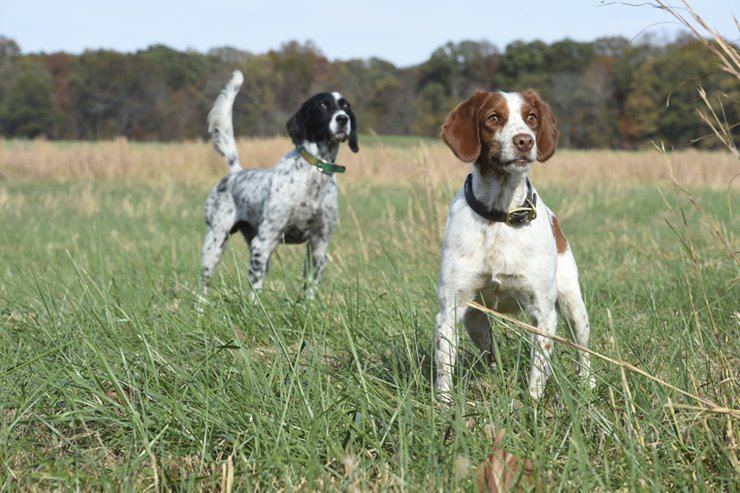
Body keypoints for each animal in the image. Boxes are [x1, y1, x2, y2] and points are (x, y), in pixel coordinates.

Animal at [198, 69, 356, 300]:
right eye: (322, 106)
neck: (313, 174)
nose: (343, 119)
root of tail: (235, 172)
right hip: (215, 243)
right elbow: (254, 291)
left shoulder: (318, 244)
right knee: (204, 286)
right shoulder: (264, 241)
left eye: (345, 106)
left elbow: (310, 288)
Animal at [434, 89, 596, 400]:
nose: (525, 141)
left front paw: (532, 405)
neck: (500, 214)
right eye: (493, 118)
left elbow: (538, 373)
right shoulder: (450, 310)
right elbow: (444, 372)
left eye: (531, 117)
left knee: (583, 349)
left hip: (573, 305)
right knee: (490, 350)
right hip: (475, 319)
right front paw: (444, 407)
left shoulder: (543, 313)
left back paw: (588, 384)